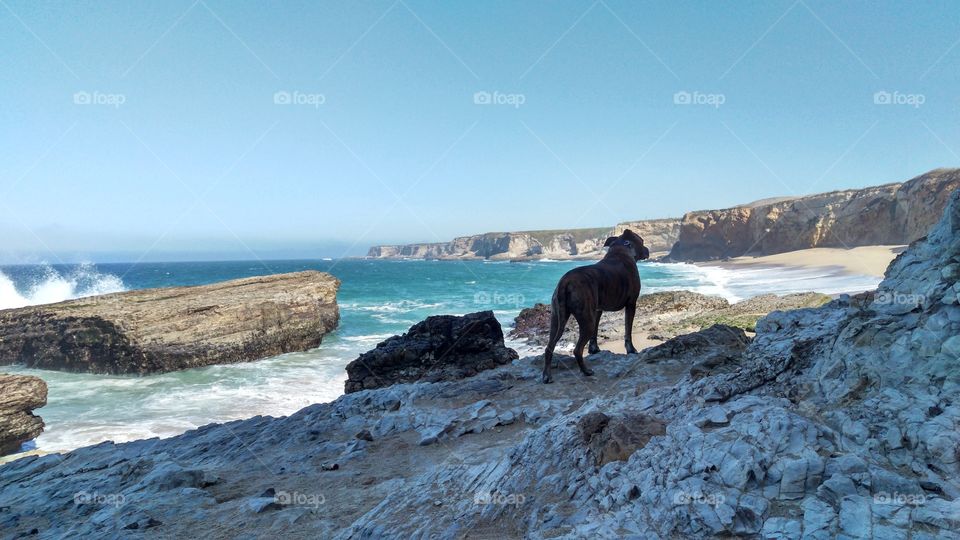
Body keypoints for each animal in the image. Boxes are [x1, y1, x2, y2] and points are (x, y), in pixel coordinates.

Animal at [540, 229, 652, 384]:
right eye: (642, 240)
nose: (648, 250)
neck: (621, 250)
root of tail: (565, 281)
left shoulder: (597, 310)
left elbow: (595, 333)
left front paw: (594, 349)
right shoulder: (631, 304)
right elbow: (628, 329)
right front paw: (631, 350)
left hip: (557, 319)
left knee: (549, 347)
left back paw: (547, 375)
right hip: (586, 320)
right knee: (577, 349)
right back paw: (586, 371)